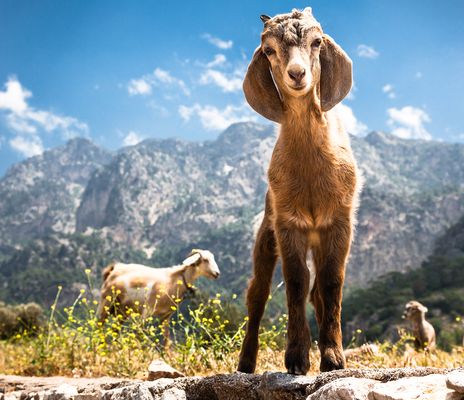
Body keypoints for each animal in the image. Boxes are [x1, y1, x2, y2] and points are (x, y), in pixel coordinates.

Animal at [237, 7, 360, 376]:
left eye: (317, 41)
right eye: (269, 50)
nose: (297, 73)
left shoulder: (339, 222)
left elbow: (331, 283)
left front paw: (332, 358)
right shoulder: (288, 223)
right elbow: (295, 282)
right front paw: (296, 358)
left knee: (318, 290)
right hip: (266, 233)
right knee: (258, 293)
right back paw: (245, 363)